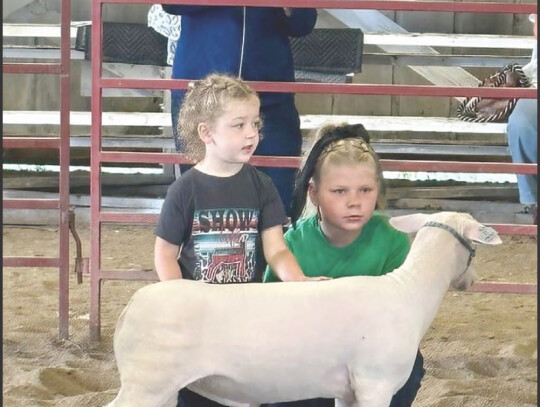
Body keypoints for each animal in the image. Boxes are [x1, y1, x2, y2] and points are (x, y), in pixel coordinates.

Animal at [105, 212, 502, 407]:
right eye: (475, 250)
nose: (472, 281)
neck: (409, 290)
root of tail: (131, 307)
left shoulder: (349, 390)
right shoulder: (377, 383)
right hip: (148, 383)